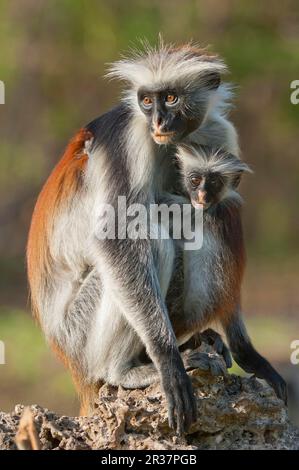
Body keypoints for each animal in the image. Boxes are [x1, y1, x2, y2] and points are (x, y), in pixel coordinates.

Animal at [27, 42, 241, 436]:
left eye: (171, 98)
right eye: (146, 101)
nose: (157, 121)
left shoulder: (216, 134)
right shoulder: (127, 140)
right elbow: (116, 238)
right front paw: (168, 360)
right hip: (78, 335)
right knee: (152, 236)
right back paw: (126, 370)